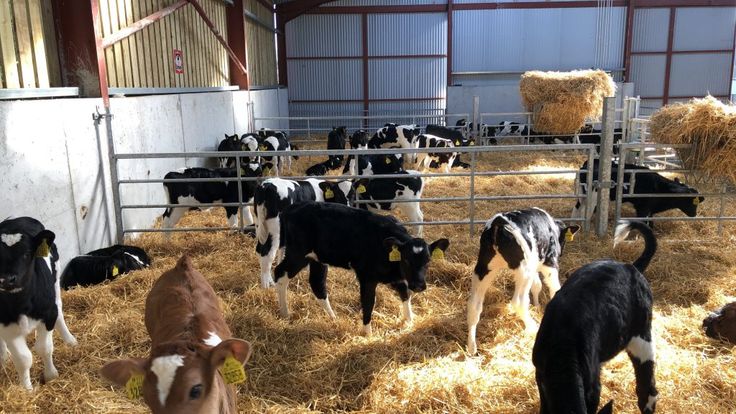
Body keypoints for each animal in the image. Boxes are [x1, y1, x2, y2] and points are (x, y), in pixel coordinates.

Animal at [0, 217, 77, 388]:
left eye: (27, 253)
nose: (6, 279)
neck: (21, 304)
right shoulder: (7, 327)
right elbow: (23, 360)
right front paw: (27, 389)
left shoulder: (48, 315)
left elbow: (44, 348)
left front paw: (51, 375)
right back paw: (3, 356)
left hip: (56, 284)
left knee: (60, 310)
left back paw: (70, 340)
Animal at [274, 202, 452, 334]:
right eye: (406, 260)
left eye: (428, 260)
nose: (419, 285)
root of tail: (292, 207)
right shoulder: (367, 277)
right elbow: (368, 303)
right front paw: (368, 334)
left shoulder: (398, 277)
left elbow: (405, 294)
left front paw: (409, 321)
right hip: (298, 254)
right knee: (280, 274)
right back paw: (285, 314)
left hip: (317, 258)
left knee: (317, 284)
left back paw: (333, 318)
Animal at [466, 207, 580, 352]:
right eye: (563, 240)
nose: (562, 252)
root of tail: (498, 224)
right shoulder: (549, 262)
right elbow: (554, 287)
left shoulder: (535, 264)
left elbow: (537, 285)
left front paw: (537, 305)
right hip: (524, 270)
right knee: (518, 302)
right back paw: (532, 327)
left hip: (483, 269)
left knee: (474, 305)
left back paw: (471, 347)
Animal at [572, 160, 704, 225]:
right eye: (690, 201)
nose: (694, 214)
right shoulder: (643, 208)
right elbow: (643, 221)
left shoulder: (650, 209)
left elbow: (650, 223)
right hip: (591, 198)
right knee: (585, 211)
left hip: (582, 197)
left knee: (577, 209)